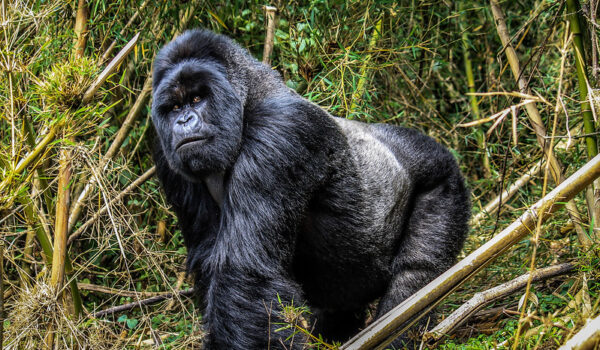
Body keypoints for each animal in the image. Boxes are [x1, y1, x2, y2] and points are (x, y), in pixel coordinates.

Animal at [150, 28, 468, 348]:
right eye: (175, 107)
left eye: (197, 98)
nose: (184, 121)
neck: (249, 97)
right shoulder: (166, 155)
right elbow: (209, 256)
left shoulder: (282, 128)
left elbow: (244, 271)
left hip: (444, 180)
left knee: (416, 277)